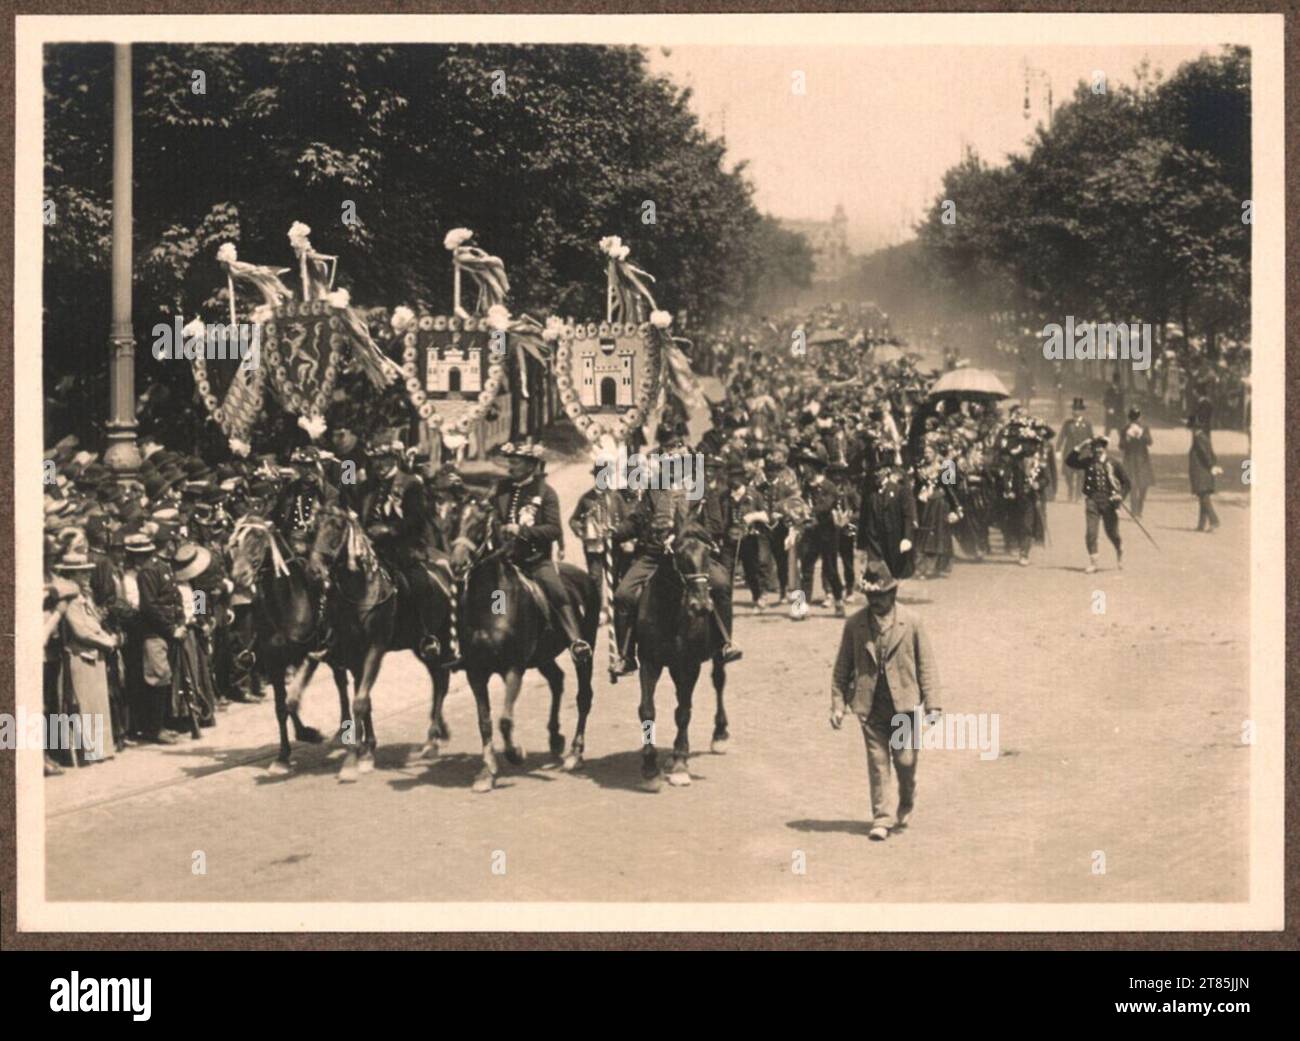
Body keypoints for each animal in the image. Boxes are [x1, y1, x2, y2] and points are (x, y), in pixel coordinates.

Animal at [227, 519, 345, 769]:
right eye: (234, 544)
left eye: (258, 540)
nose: (240, 576)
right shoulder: (275, 664)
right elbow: (282, 706)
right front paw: (286, 752)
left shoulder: (308, 654)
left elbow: (292, 698)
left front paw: (305, 733)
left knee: (341, 682)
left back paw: (343, 729)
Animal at [306, 504, 454, 779]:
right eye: (313, 529)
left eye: (336, 529)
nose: (313, 572)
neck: (362, 591)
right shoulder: (354, 654)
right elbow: (363, 699)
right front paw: (366, 750)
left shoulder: (375, 649)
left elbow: (360, 701)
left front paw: (353, 760)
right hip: (422, 647)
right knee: (438, 680)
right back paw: (435, 735)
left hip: (442, 638)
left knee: (442, 684)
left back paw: (432, 740)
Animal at [449, 496, 600, 790]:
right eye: (453, 519)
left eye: (479, 524)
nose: (457, 564)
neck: (491, 604)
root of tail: (585, 577)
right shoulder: (476, 672)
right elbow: (485, 721)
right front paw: (486, 772)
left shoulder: (513, 668)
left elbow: (505, 720)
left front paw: (515, 753)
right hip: (543, 656)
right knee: (556, 679)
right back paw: (556, 738)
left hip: (584, 651)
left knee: (583, 696)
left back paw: (574, 754)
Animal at [631, 535, 728, 790]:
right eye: (680, 558)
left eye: (708, 555)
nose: (701, 605)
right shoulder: (649, 661)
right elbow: (647, 709)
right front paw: (650, 769)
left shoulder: (690, 664)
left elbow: (684, 712)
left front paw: (681, 765)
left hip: (715, 658)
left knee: (718, 682)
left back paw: (720, 734)